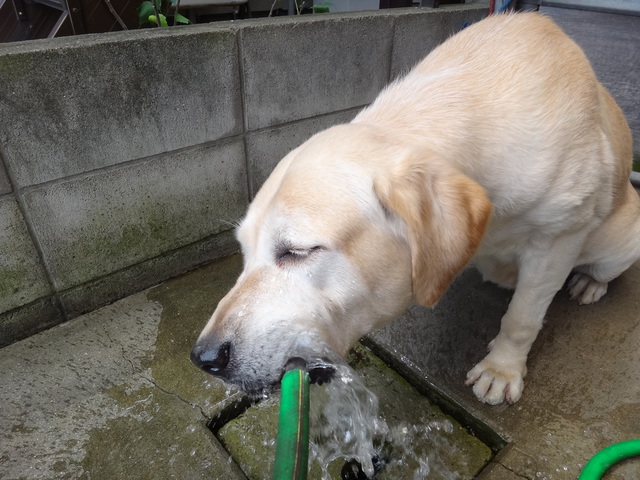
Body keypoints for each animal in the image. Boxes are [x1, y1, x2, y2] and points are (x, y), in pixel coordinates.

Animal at [191, 13, 640, 404]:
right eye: (245, 253)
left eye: (297, 251)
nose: (204, 358)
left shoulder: (559, 236)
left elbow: (523, 317)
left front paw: (502, 369)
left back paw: (589, 283)